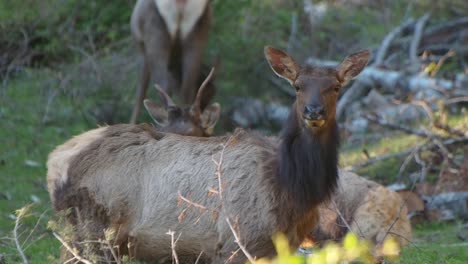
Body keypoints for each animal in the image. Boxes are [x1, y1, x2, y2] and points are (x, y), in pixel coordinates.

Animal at [46, 46, 370, 262]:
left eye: (336, 86)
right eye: (298, 85)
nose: (313, 111)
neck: (292, 188)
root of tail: (54, 162)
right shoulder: (236, 242)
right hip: (89, 232)